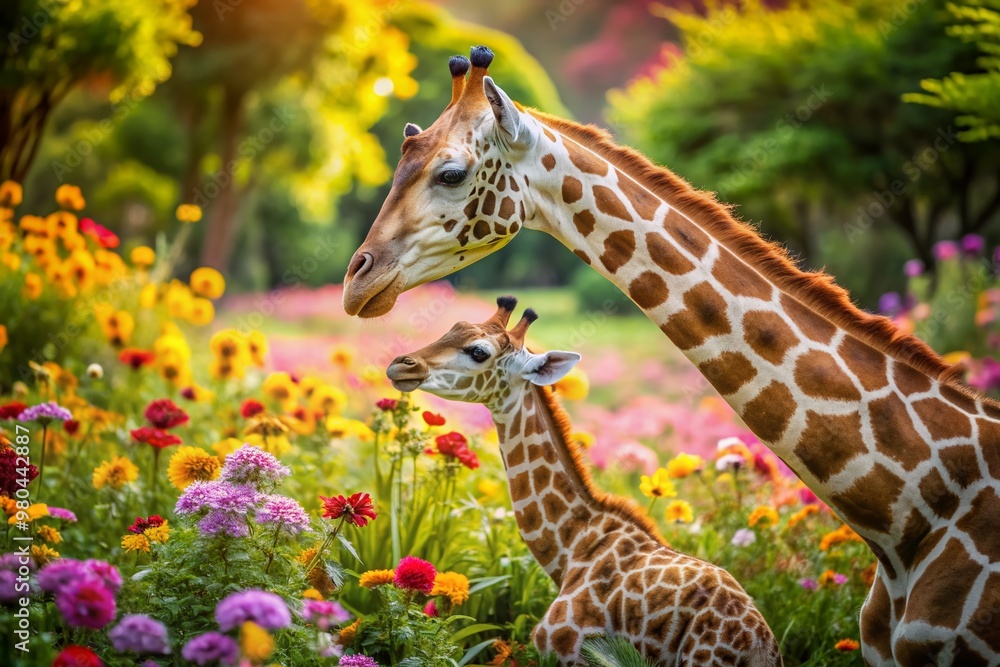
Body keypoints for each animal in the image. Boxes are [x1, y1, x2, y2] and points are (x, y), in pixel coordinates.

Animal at [386, 296, 783, 666]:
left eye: (478, 352)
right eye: (452, 328)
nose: (400, 365)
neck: (573, 544)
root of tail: (759, 644)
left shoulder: (566, 650)